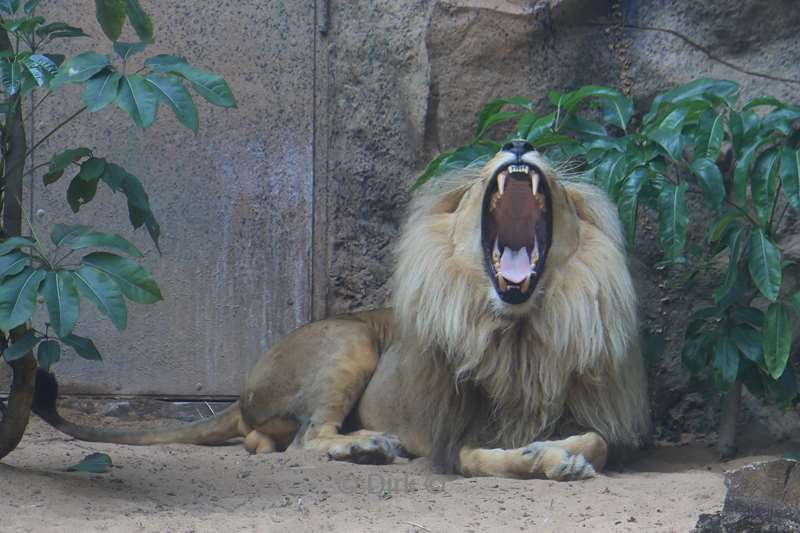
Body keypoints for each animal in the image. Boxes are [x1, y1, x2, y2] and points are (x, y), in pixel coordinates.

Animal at [34, 139, 652, 480]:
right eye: (485, 167)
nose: (520, 142)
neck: (524, 328)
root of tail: (240, 391)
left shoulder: (595, 419)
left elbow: (595, 441)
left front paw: (563, 454)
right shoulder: (455, 436)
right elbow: (483, 457)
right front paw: (540, 460)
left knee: (266, 443)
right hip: (348, 343)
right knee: (304, 441)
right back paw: (367, 446)